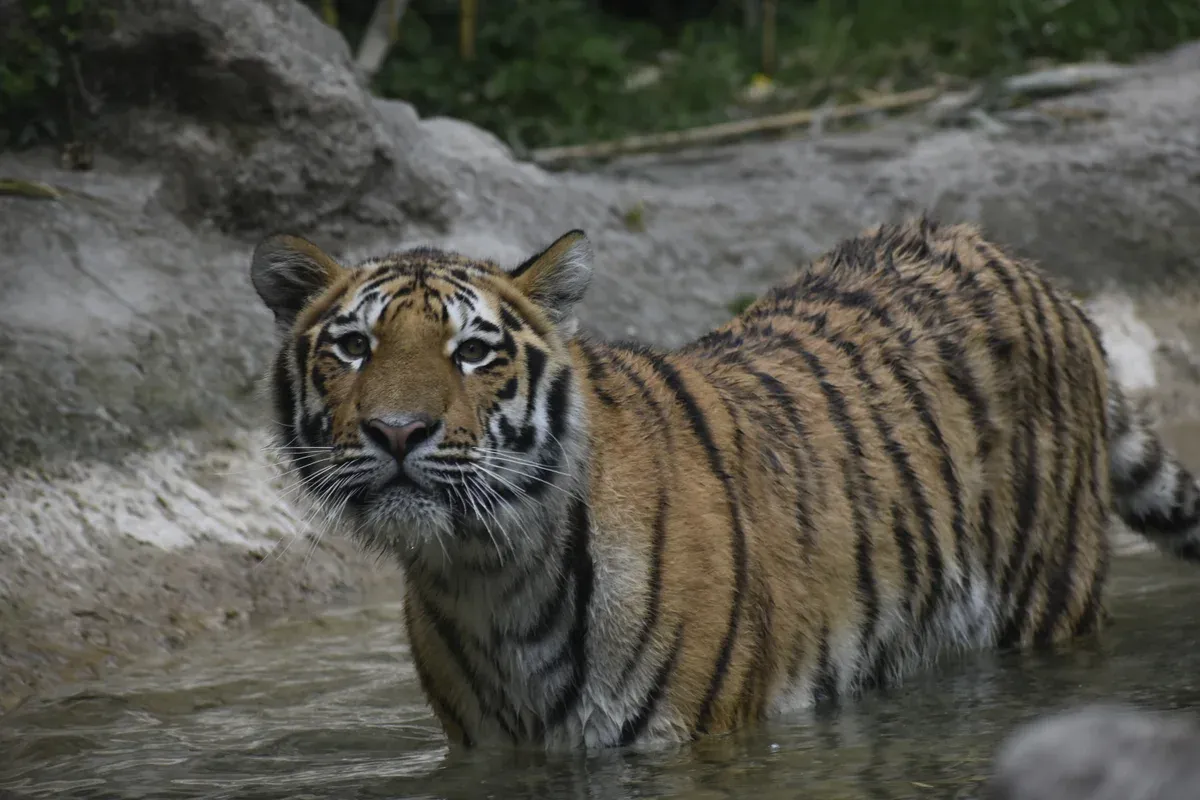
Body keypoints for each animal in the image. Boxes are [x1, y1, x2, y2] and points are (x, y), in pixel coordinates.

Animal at [248, 216, 1200, 751]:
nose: (397, 432)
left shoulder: (689, 739)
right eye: (353, 347)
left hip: (1046, 610)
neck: (489, 574)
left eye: (473, 352)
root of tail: (1034, 271)